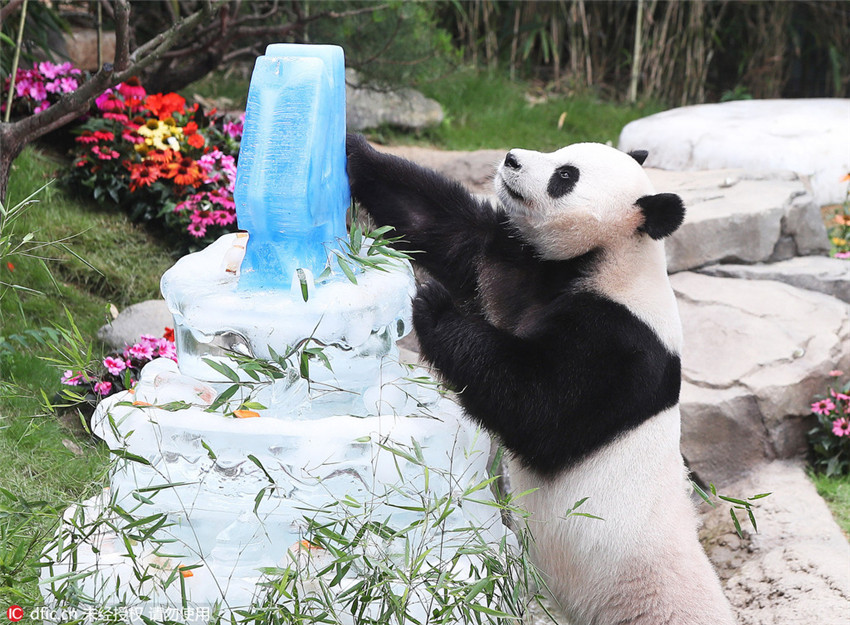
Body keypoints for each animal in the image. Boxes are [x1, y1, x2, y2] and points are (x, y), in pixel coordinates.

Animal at [345, 134, 736, 625]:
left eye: (565, 176)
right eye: (559, 153)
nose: (511, 158)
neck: (613, 255)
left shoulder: (621, 343)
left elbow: (540, 410)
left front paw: (434, 306)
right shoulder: (523, 263)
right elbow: (448, 229)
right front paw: (352, 150)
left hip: (649, 597)